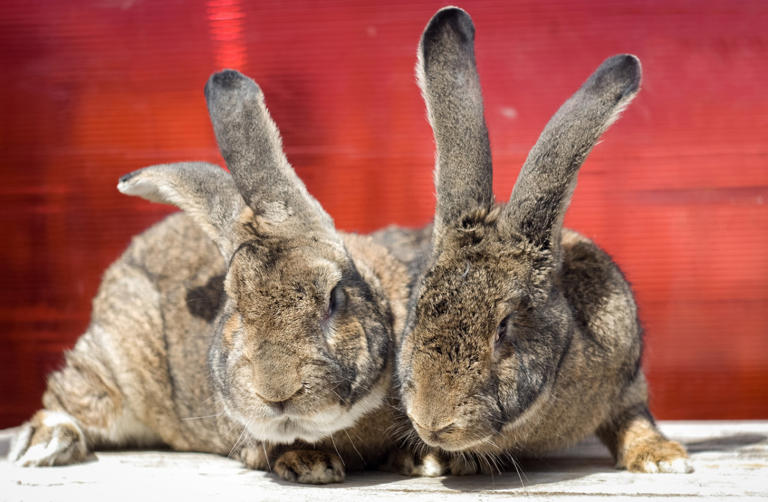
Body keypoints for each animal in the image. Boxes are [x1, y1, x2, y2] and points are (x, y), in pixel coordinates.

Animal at [8, 69, 426, 484]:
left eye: (335, 297)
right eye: (235, 305)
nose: (276, 392)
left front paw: (422, 461)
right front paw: (311, 464)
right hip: (111, 365)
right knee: (66, 398)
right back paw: (46, 446)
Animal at [395, 7, 692, 475]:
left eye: (503, 328)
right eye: (416, 311)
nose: (433, 423)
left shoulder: (628, 382)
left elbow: (634, 419)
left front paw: (663, 459)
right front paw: (431, 459)